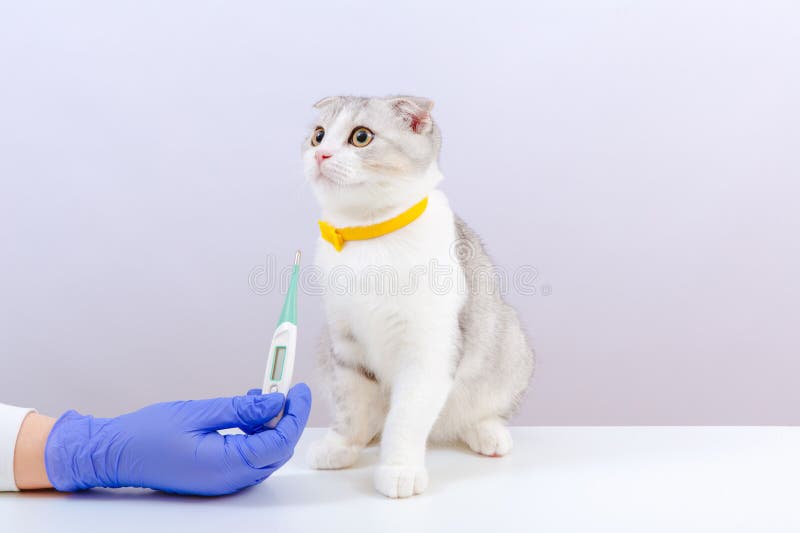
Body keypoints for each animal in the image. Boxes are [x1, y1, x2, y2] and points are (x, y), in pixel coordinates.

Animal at [304, 93, 536, 496]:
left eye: (361, 137)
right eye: (318, 135)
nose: (321, 154)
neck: (369, 236)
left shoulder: (429, 351)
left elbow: (405, 418)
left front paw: (399, 470)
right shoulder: (345, 343)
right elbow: (351, 407)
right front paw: (341, 446)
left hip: (509, 342)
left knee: (480, 410)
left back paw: (487, 432)